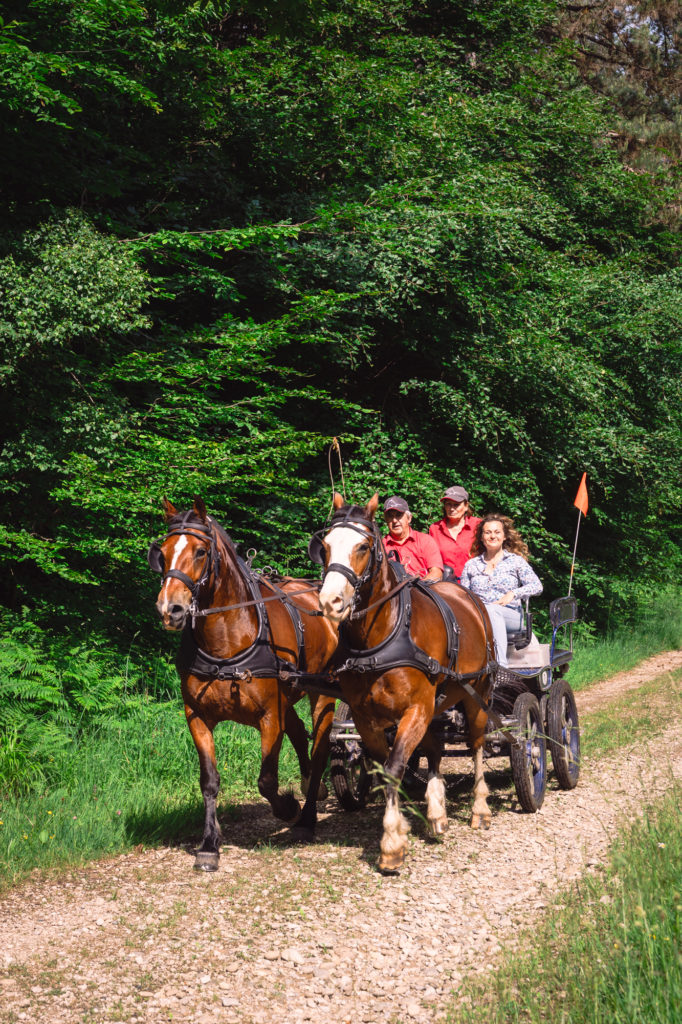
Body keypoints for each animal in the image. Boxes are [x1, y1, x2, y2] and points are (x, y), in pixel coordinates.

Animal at [149, 498, 338, 870]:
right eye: (161, 553)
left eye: (200, 551)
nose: (170, 609)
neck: (228, 639)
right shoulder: (197, 717)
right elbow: (209, 781)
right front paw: (209, 844)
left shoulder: (269, 718)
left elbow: (267, 780)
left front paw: (289, 808)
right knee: (299, 733)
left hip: (321, 693)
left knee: (320, 748)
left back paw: (307, 816)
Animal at [312, 492, 496, 873]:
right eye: (325, 546)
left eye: (363, 546)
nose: (330, 602)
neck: (382, 637)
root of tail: (471, 599)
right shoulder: (365, 717)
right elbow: (386, 769)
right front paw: (408, 824)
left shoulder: (415, 708)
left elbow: (396, 765)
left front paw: (392, 843)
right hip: (436, 704)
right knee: (436, 748)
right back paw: (437, 813)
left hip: (477, 693)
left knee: (477, 744)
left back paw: (480, 808)